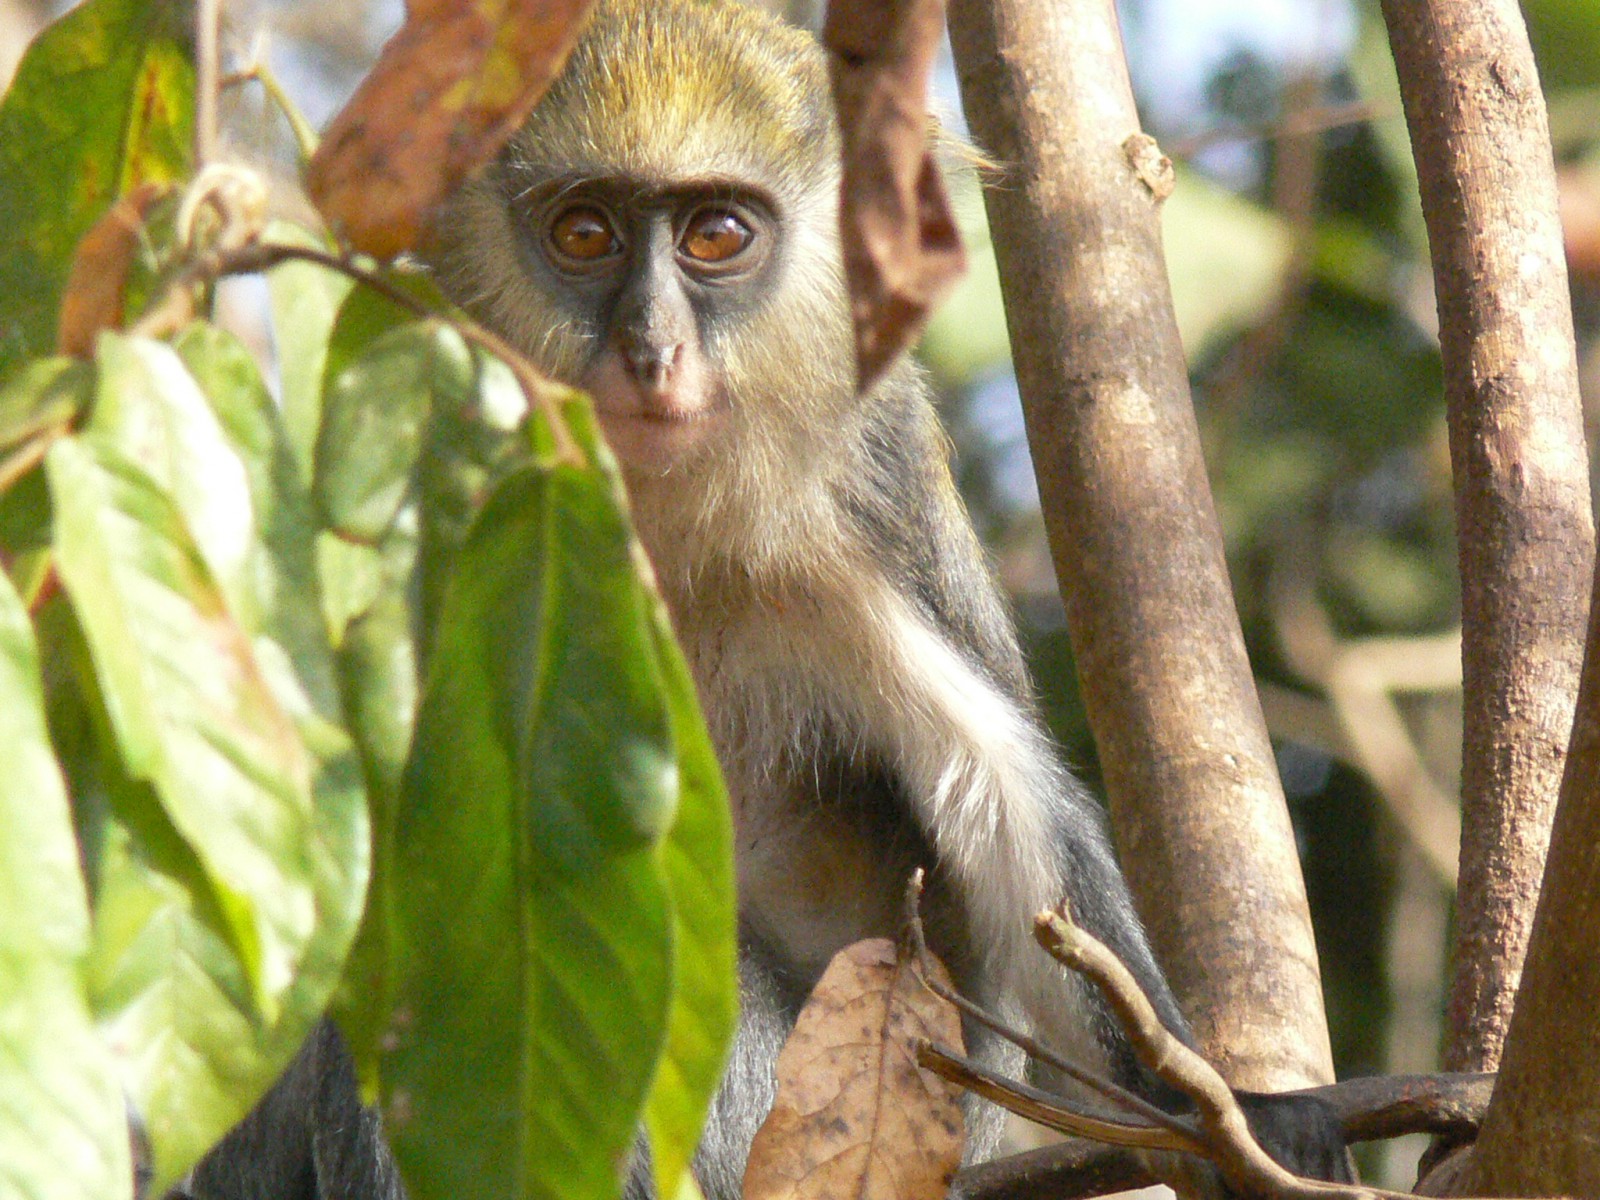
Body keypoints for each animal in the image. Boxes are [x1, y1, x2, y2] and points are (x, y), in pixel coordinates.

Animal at [166, 1, 1354, 1195]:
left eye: (715, 237)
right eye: (584, 235)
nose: (650, 349)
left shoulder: (861, 508)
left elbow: (1010, 816)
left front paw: (1234, 1115)